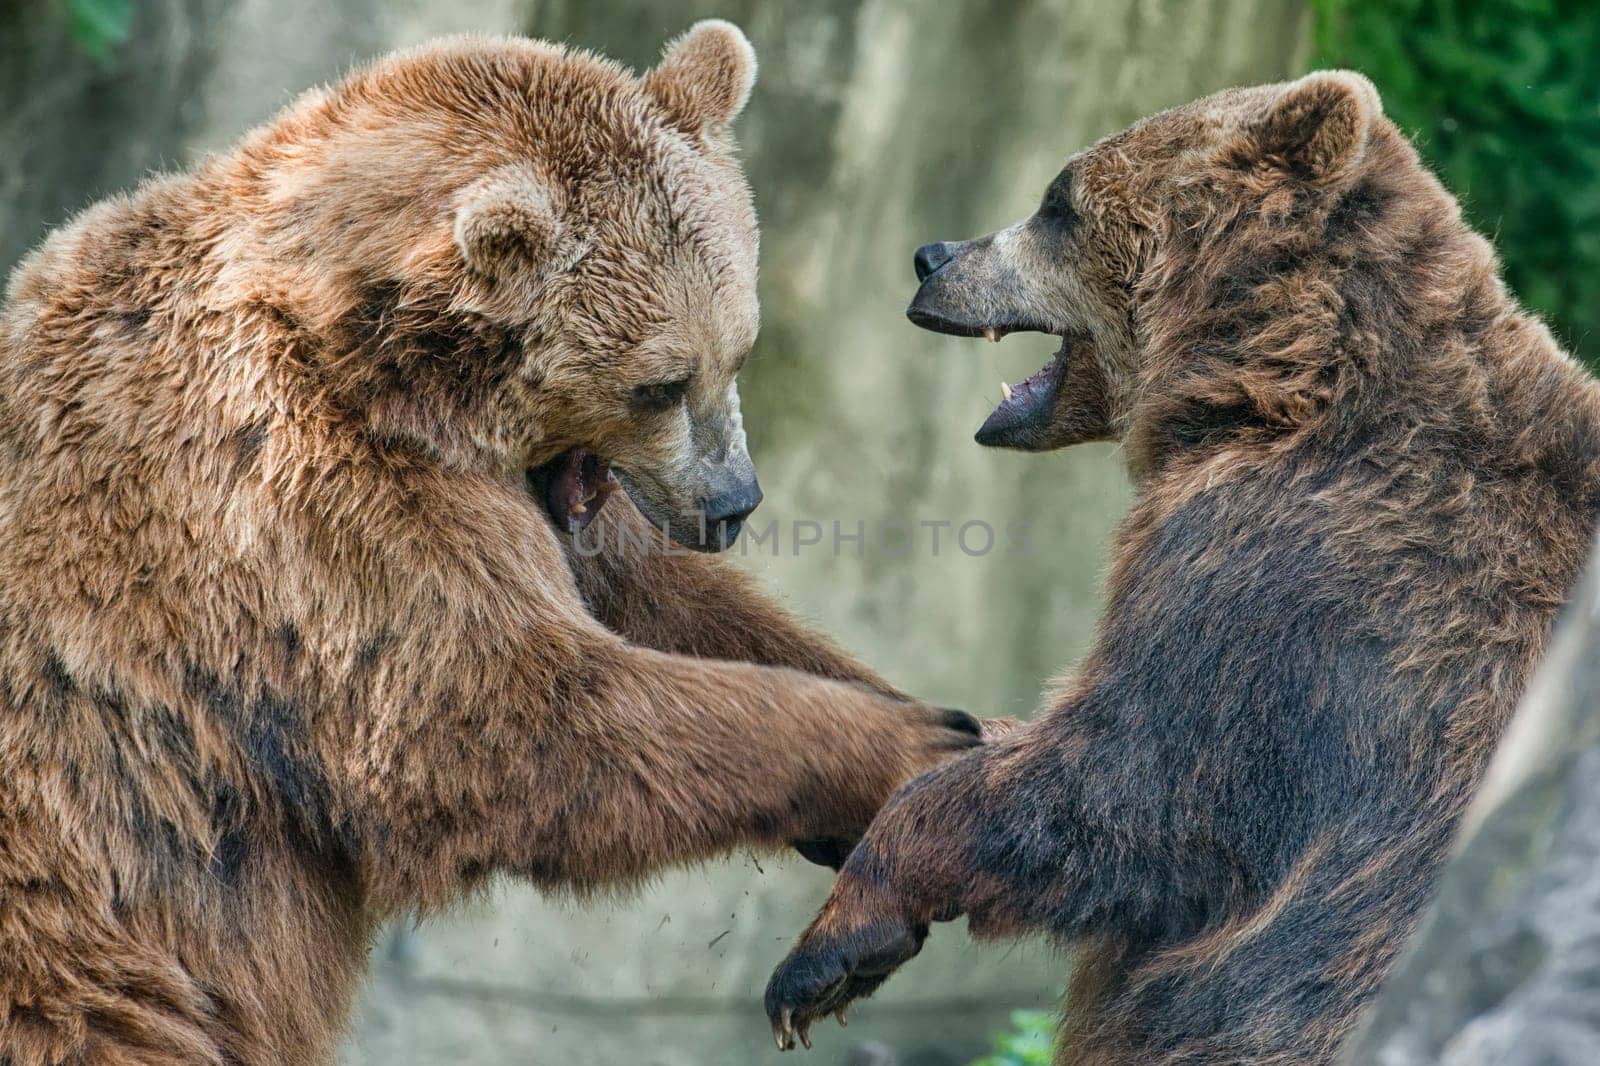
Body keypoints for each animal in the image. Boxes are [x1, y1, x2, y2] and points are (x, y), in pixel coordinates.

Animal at [758, 70, 1600, 1056]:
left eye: (1057, 201)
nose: (932, 256)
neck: (1272, 388)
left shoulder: (1296, 588)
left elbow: (1125, 786)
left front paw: (827, 954)